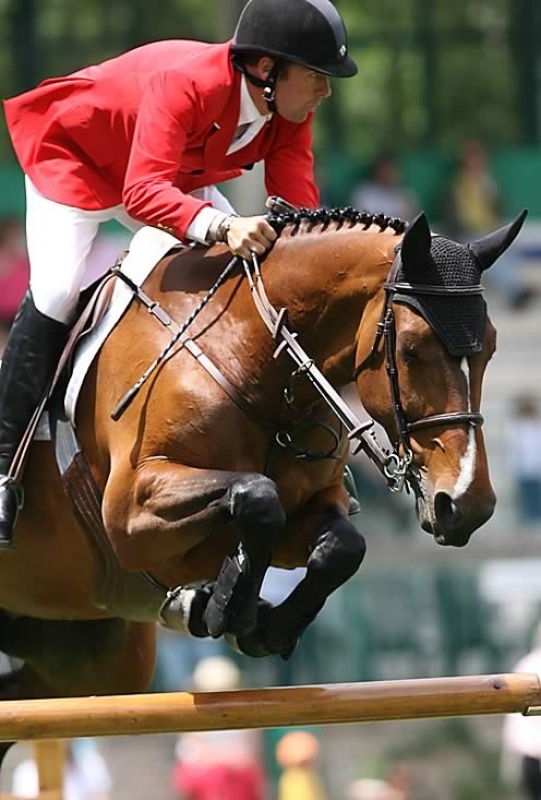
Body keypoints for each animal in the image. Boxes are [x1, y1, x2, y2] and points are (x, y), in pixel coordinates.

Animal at [0, 205, 525, 745]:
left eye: (490, 348)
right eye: (414, 350)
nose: (467, 504)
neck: (248, 357)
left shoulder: (314, 506)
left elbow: (341, 545)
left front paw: (260, 625)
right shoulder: (130, 516)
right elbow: (257, 495)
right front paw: (223, 606)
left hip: (89, 659)